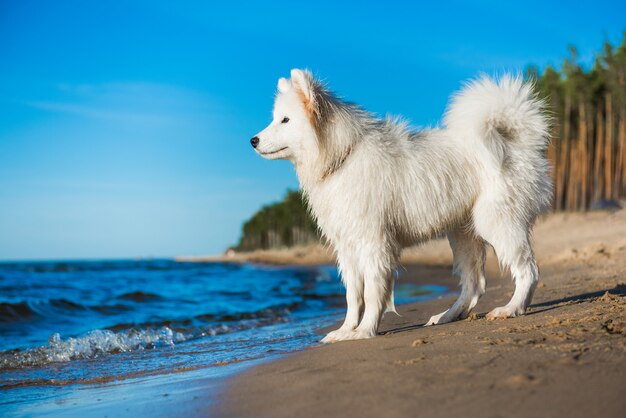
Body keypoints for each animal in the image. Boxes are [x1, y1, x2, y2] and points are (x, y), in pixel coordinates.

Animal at [251, 69, 548, 342]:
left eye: (285, 120)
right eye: (275, 118)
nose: (252, 140)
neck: (343, 157)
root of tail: (517, 138)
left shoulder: (374, 243)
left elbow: (372, 292)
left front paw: (365, 331)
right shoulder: (347, 247)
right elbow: (353, 296)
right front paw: (345, 331)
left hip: (496, 222)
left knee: (528, 270)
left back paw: (511, 308)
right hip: (463, 234)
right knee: (474, 285)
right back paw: (447, 316)